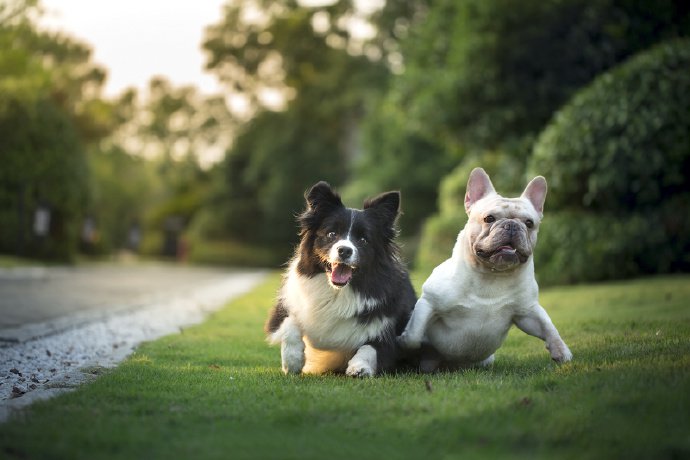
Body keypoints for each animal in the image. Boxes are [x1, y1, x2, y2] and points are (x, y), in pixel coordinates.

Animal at [264, 181, 414, 378]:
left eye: (363, 239)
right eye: (331, 234)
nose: (344, 250)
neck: (338, 292)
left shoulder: (389, 328)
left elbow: (371, 347)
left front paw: (359, 367)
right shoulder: (286, 306)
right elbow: (290, 323)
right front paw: (292, 360)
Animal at [398, 167, 568, 372]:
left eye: (529, 223)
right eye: (489, 218)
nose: (512, 225)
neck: (492, 275)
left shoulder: (527, 312)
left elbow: (547, 326)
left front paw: (561, 351)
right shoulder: (428, 303)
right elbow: (413, 336)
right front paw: (403, 339)